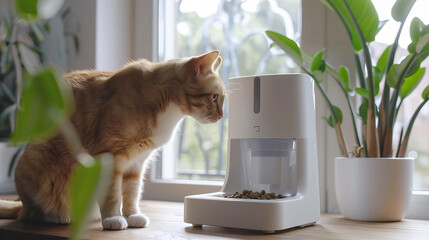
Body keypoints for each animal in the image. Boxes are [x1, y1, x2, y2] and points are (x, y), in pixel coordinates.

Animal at [0, 51, 226, 231]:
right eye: (214, 97)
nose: (221, 117)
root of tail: (22, 205)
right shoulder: (109, 156)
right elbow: (112, 194)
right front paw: (113, 218)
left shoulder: (137, 163)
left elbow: (132, 192)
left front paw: (132, 216)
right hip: (37, 161)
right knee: (32, 213)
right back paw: (58, 216)